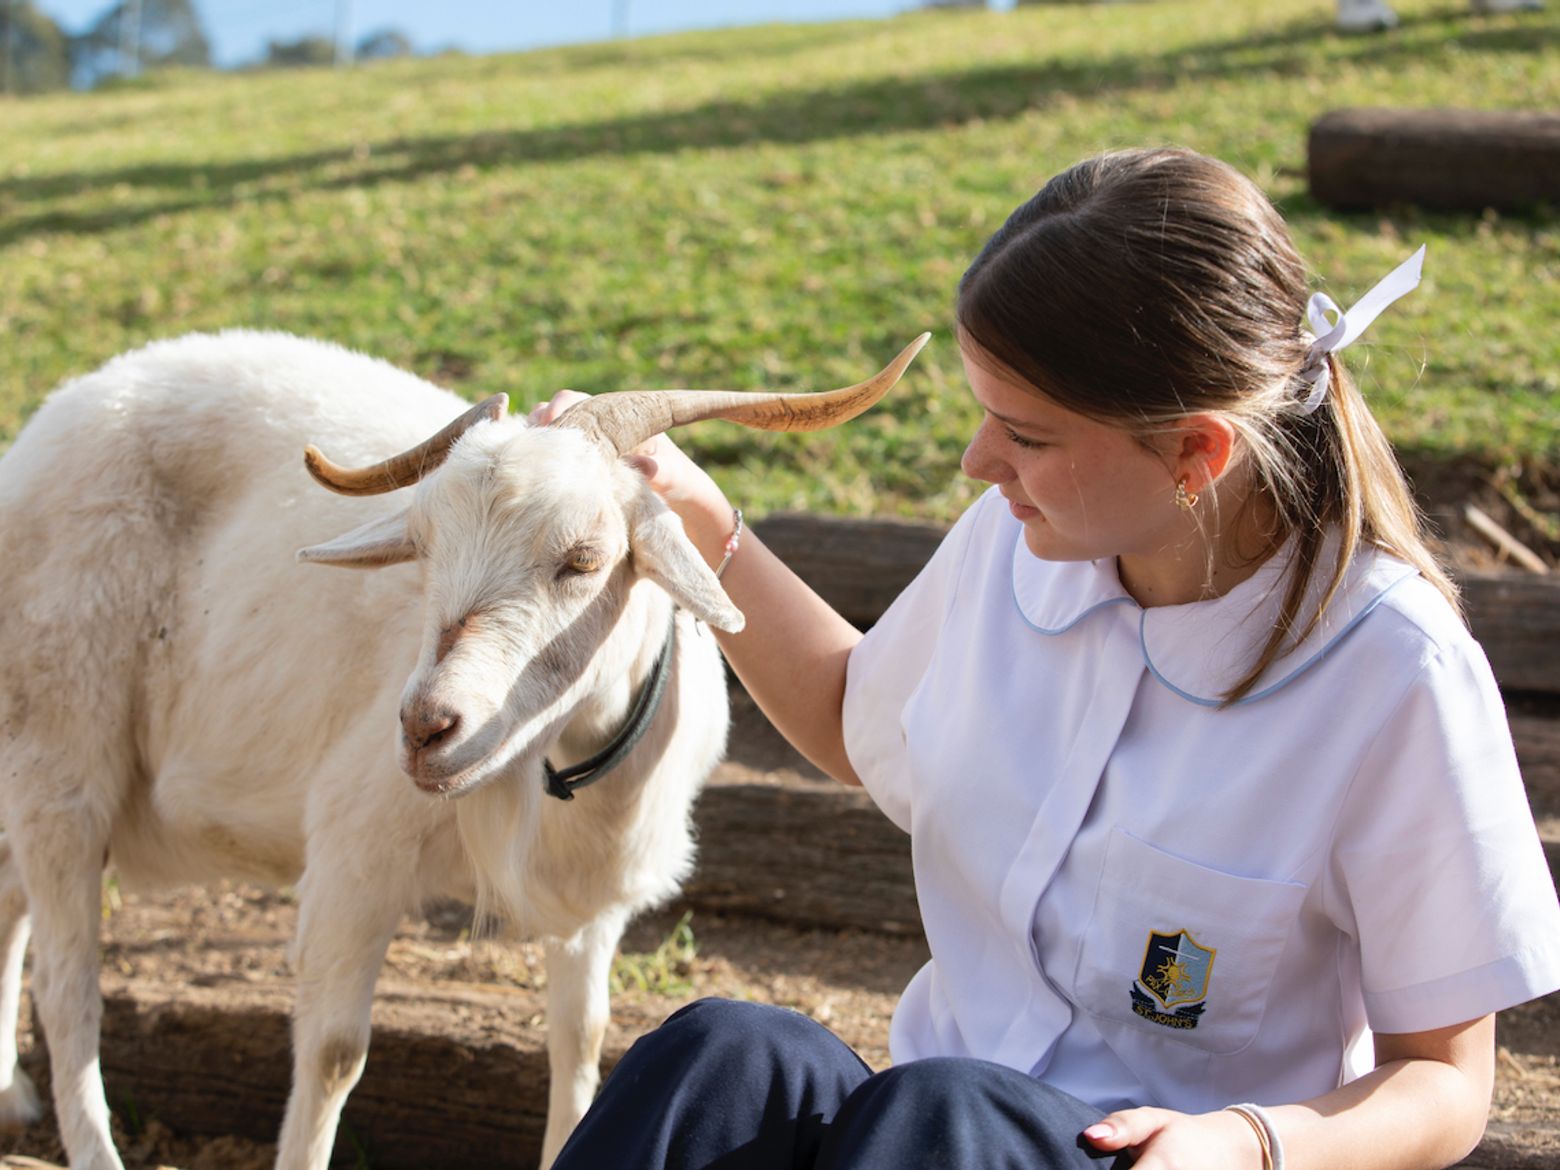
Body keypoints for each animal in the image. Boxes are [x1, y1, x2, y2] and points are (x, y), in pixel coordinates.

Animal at [0, 330, 923, 1170]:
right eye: (425, 549)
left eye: (584, 557)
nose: (423, 727)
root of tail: (52, 420)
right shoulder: (354, 856)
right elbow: (333, 1053)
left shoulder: (594, 908)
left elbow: (581, 1042)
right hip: (60, 749)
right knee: (67, 985)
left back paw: (12, 1097)